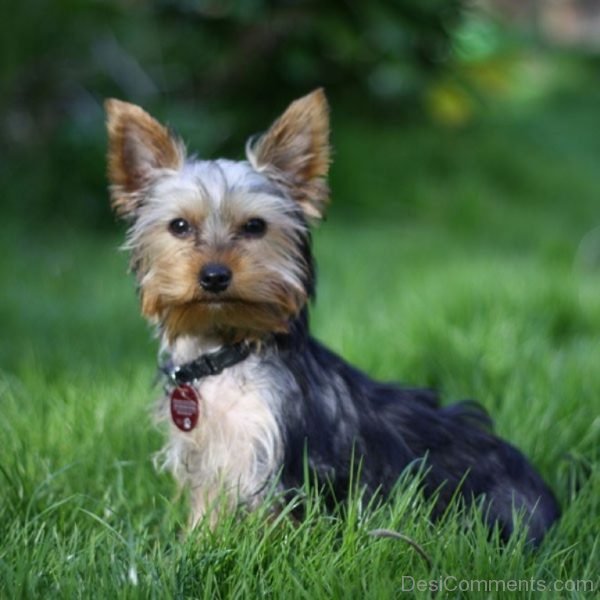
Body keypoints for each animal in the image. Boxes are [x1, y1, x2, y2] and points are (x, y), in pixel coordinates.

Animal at [105, 89, 560, 544]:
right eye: (179, 226)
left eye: (255, 226)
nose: (214, 276)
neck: (225, 350)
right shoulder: (208, 455)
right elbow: (207, 511)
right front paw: (195, 545)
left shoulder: (275, 461)